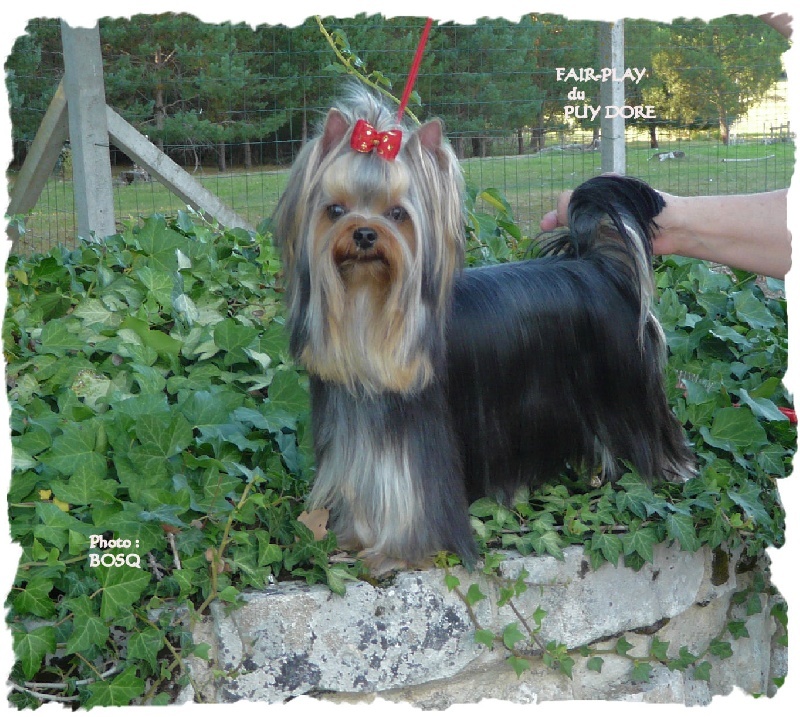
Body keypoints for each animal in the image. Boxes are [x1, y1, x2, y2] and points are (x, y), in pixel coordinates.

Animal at [270, 86, 692, 572]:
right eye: (334, 210)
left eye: (398, 214)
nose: (363, 234)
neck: (366, 309)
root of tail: (597, 263)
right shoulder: (357, 431)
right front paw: (357, 538)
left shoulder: (420, 442)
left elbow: (412, 498)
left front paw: (396, 553)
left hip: (624, 385)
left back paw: (666, 471)